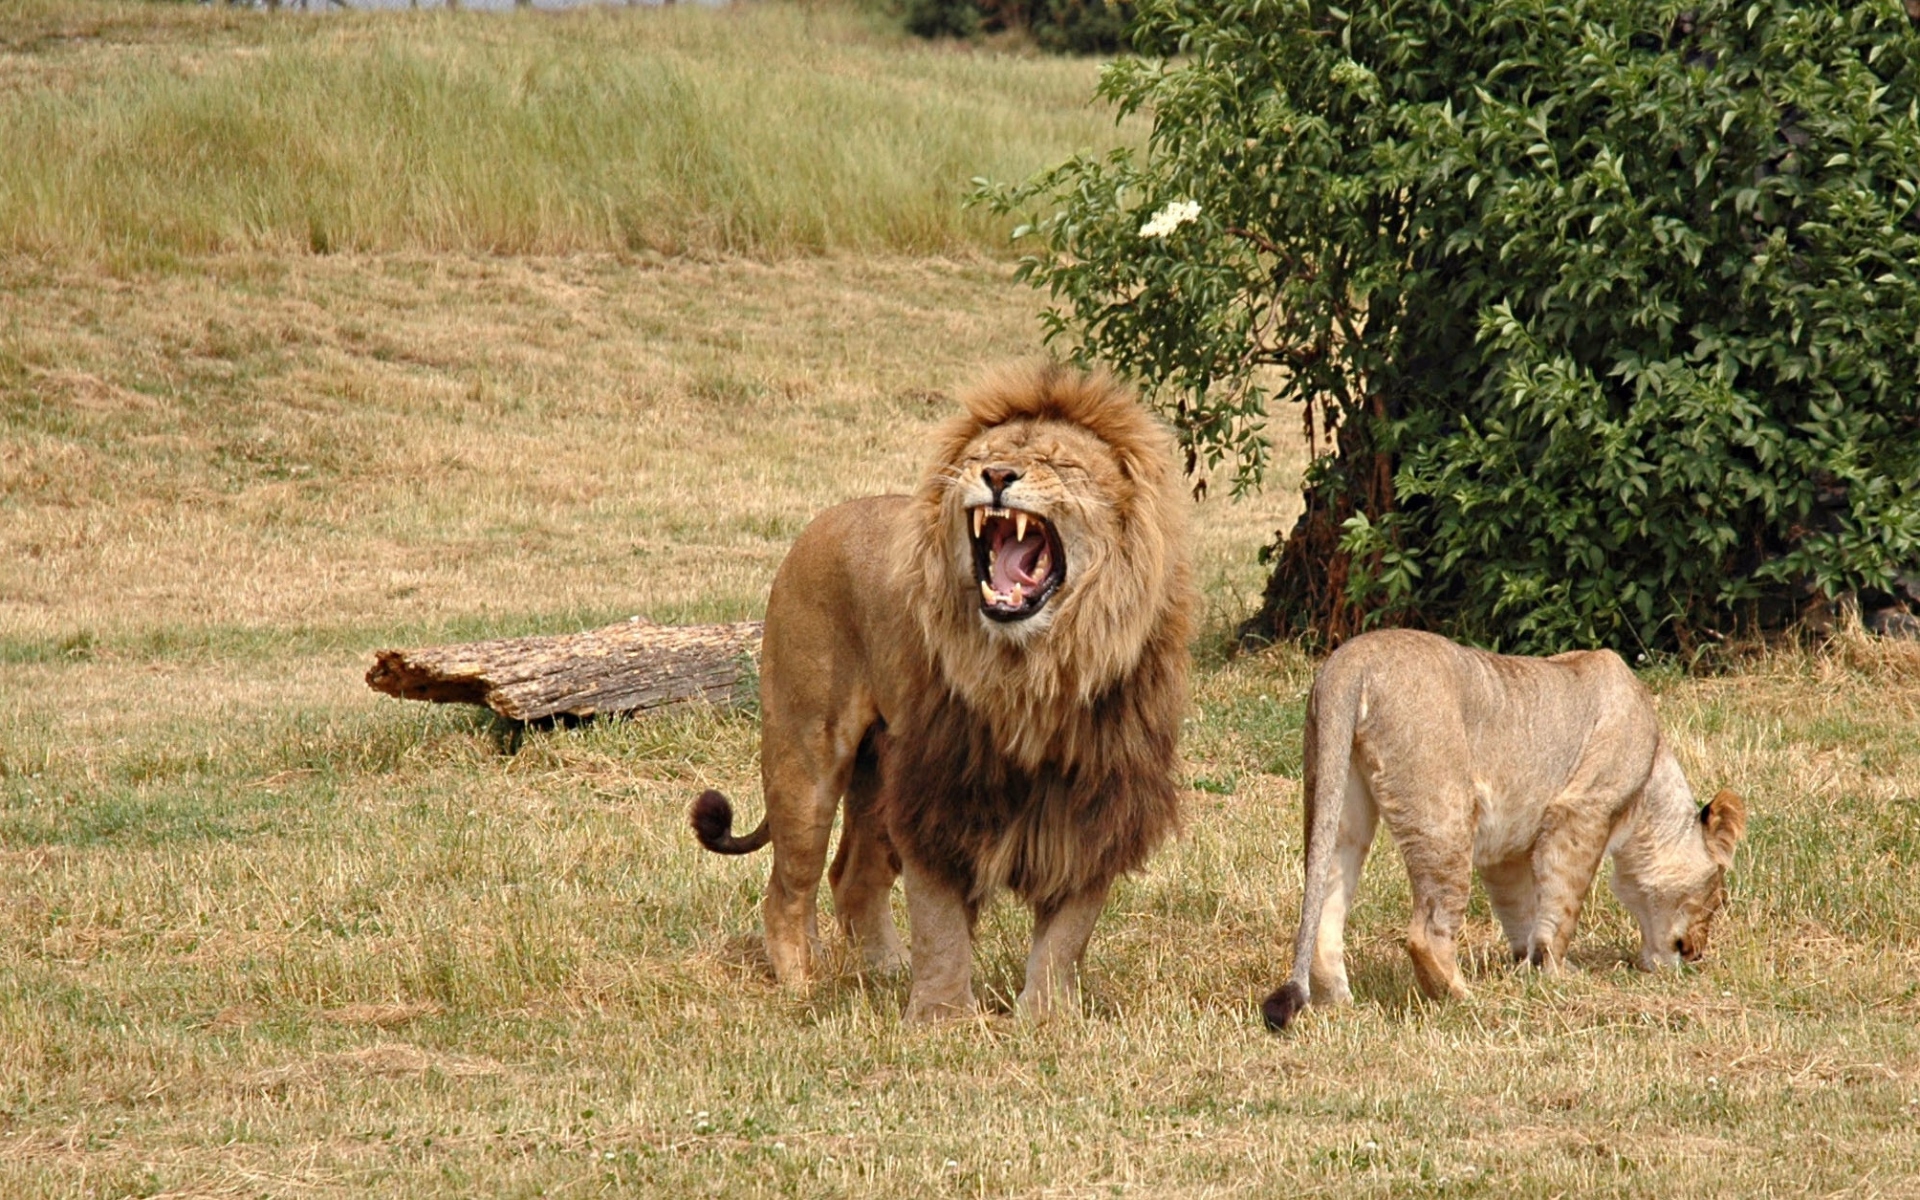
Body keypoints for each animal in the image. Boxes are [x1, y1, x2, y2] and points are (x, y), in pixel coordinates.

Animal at [691, 363, 1195, 1022]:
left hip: (878, 771)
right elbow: (940, 926)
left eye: (1059, 463)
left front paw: (1046, 1020)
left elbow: (1067, 934)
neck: (1034, 672)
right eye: (982, 456)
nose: (998, 477)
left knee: (853, 877)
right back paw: (803, 985)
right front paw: (940, 1020)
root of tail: (825, 519)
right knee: (789, 887)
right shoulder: (938, 789)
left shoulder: (1096, 800)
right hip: (804, 756)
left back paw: (884, 971)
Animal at [1262, 629, 1747, 1031]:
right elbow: (1562, 906)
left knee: (1325, 901)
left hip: (1337, 795)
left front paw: (1530, 967)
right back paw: (1464, 1000)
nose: (1696, 953)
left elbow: (1523, 909)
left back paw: (1343, 1005)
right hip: (1446, 812)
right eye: (1716, 895)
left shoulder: (1507, 847)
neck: (1651, 785)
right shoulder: (1583, 811)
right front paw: (1556, 976)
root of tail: (1350, 662)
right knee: (1426, 933)